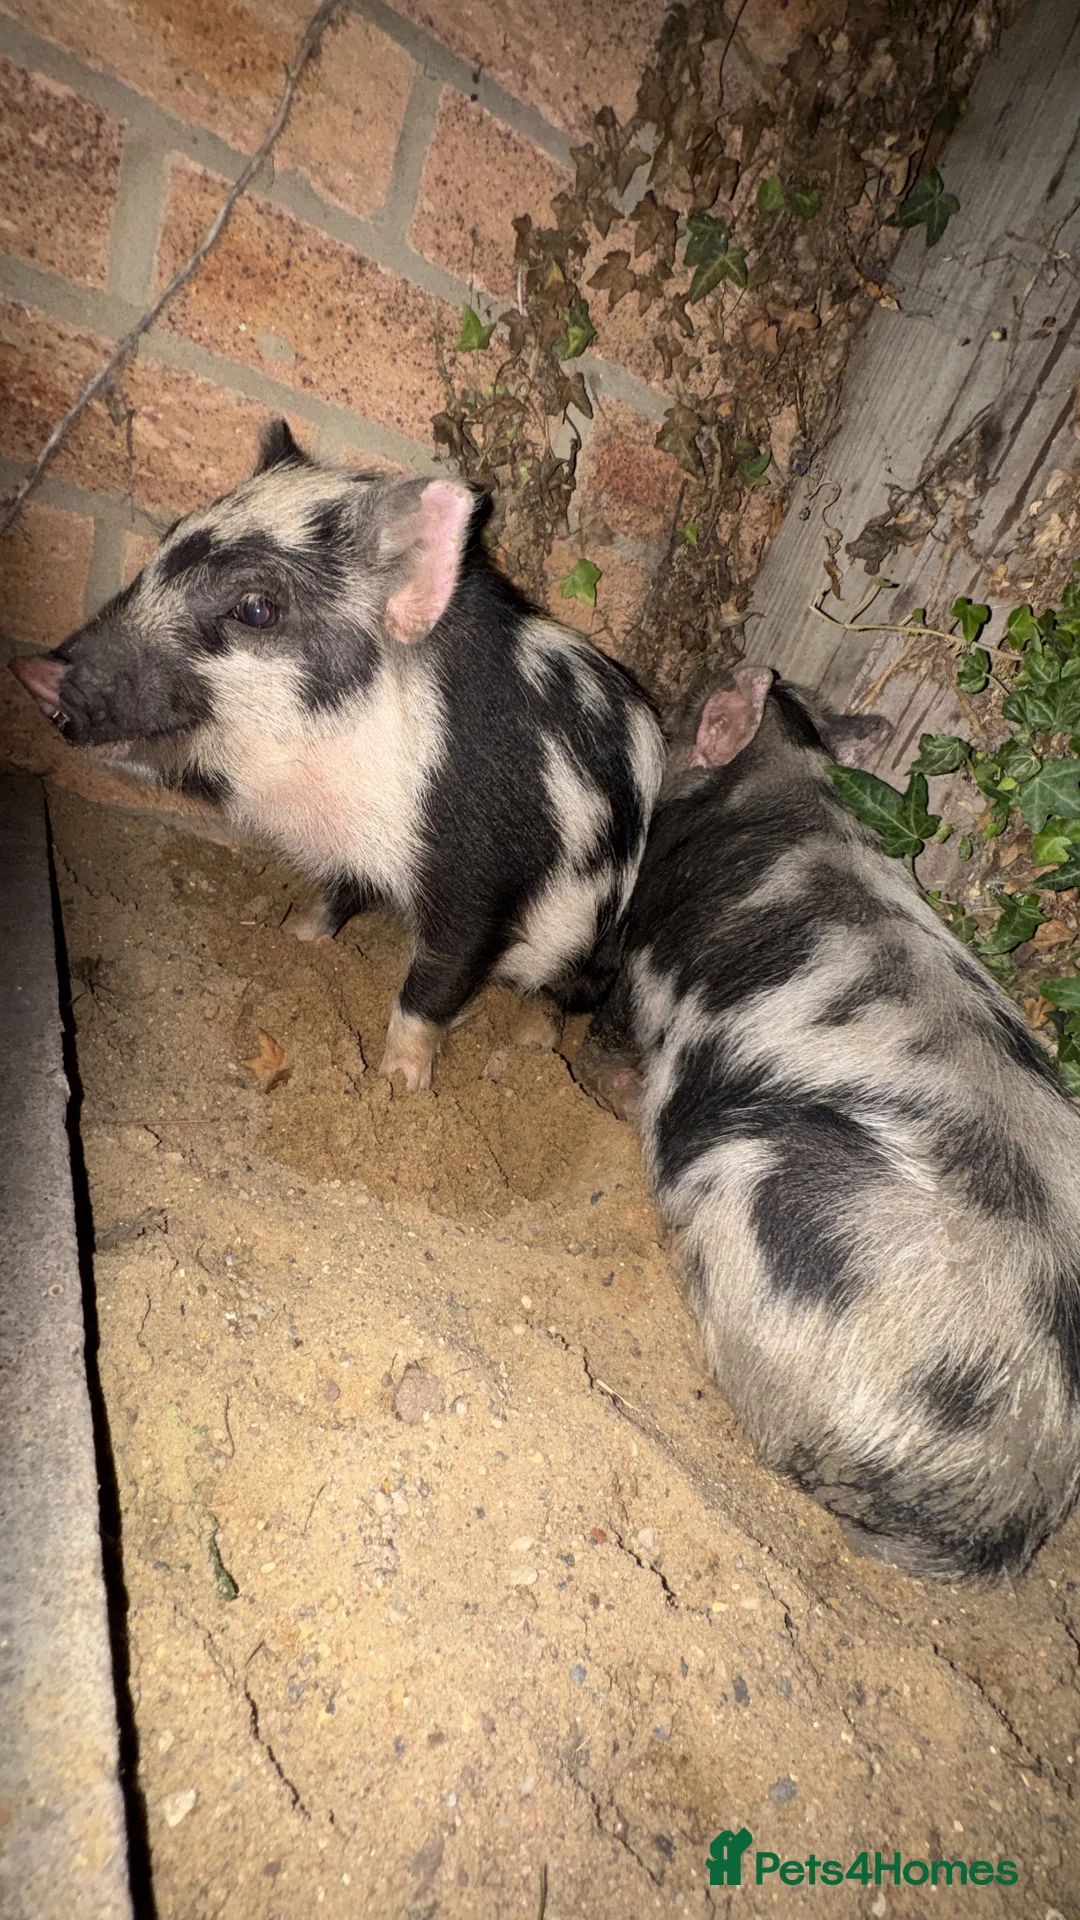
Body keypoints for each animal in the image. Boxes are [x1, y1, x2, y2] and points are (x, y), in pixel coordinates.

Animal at [11, 420, 665, 1090]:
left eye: (255, 608)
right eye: (159, 551)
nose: (34, 671)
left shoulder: (485, 872)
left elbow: (435, 982)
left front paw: (399, 1087)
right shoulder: (347, 854)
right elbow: (334, 897)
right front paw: (296, 936)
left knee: (568, 991)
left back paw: (533, 1038)